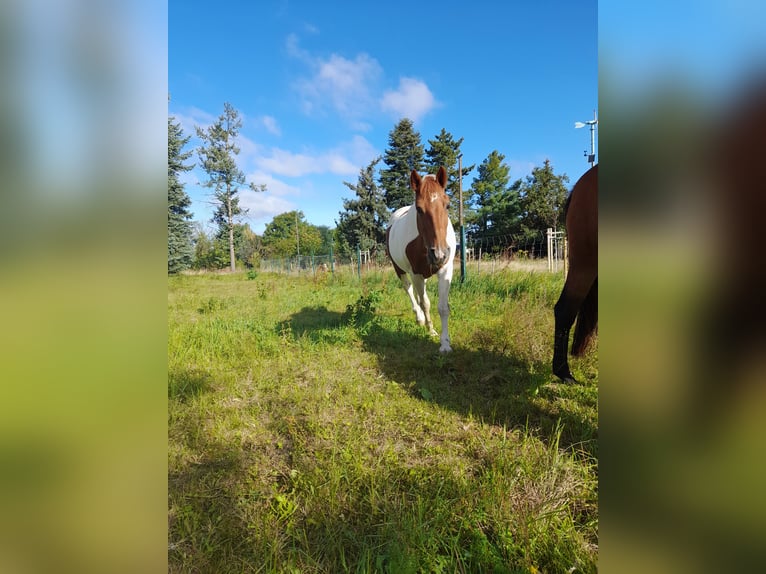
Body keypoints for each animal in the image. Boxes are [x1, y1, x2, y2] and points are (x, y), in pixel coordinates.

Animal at [390, 166, 456, 354]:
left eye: (447, 204)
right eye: (419, 209)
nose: (439, 254)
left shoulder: (445, 271)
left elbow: (443, 307)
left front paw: (445, 344)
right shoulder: (416, 274)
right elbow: (425, 303)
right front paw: (430, 329)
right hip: (400, 270)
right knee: (410, 291)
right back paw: (420, 319)